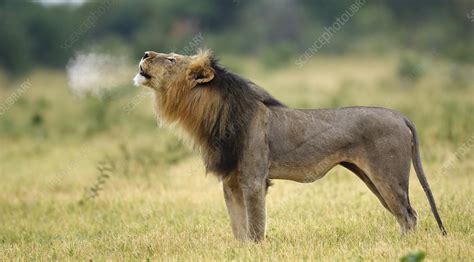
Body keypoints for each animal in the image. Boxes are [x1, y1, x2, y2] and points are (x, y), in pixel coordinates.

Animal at [134, 49, 448, 242]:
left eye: (171, 59)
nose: (146, 54)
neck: (212, 114)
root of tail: (400, 115)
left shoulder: (253, 180)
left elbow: (255, 226)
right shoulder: (230, 182)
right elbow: (239, 227)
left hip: (388, 175)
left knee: (408, 214)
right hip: (372, 178)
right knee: (403, 214)